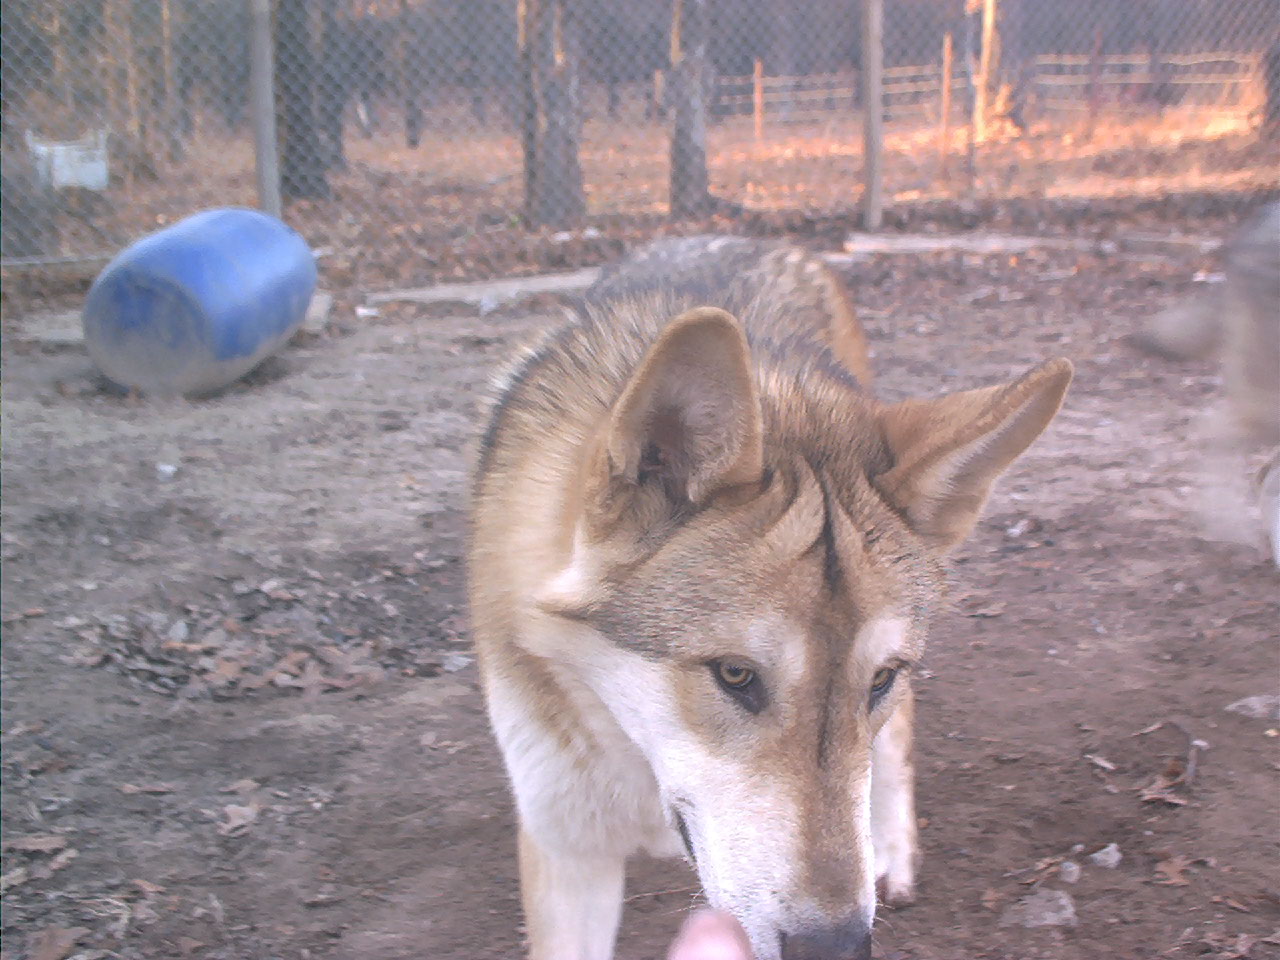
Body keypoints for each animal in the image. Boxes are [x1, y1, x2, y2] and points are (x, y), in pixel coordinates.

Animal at [469, 235, 1073, 959]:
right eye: (735, 675)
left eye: (879, 679)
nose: (836, 948)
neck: (637, 760)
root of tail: (756, 239)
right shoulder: (567, 848)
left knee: (899, 738)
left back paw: (893, 853)